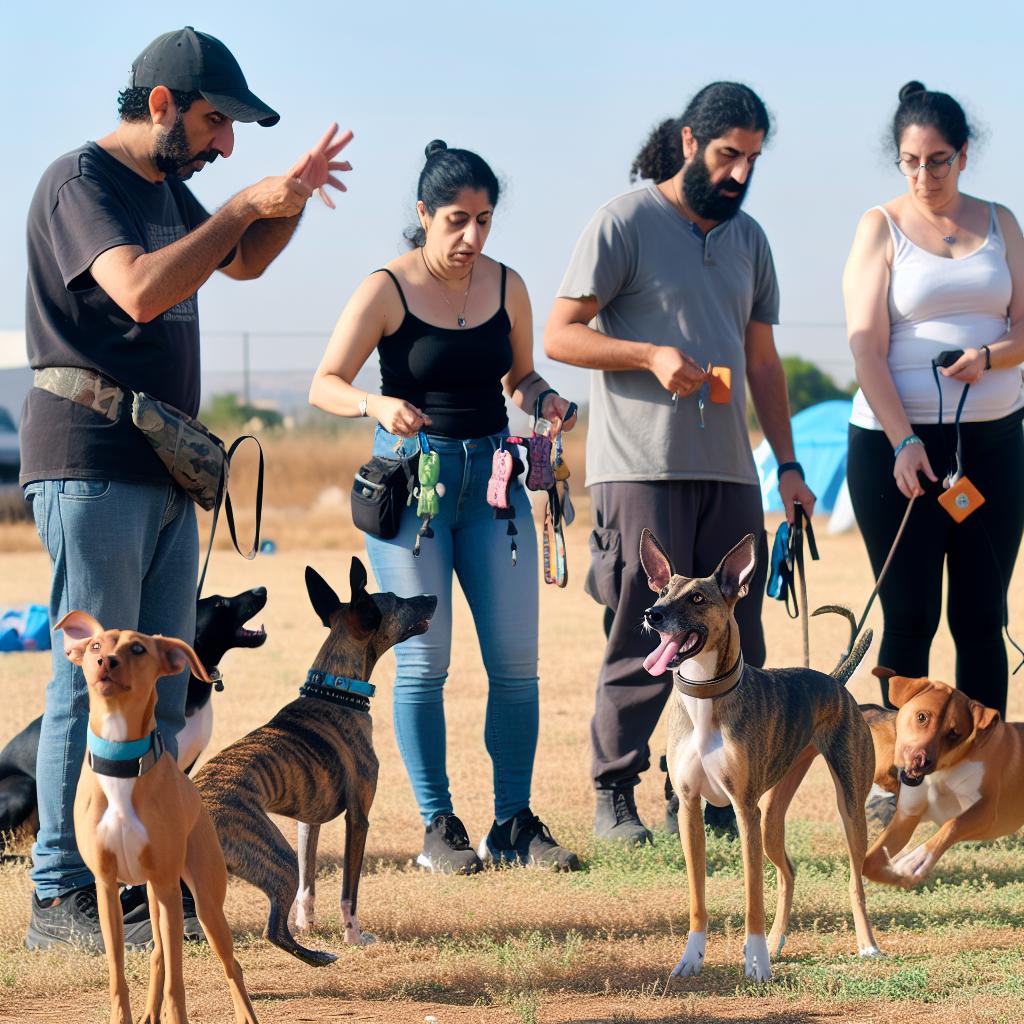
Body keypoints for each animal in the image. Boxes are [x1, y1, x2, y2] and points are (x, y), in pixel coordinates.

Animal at [60, 610, 258, 1019]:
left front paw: (175, 1014)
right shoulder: (107, 888)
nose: (106, 662)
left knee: (229, 964)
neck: (121, 760)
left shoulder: (168, 889)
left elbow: (177, 982)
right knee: (158, 955)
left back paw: (245, 1014)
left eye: (138, 648)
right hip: (153, 893)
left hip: (202, 903)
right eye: (95, 645)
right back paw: (152, 1011)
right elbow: (118, 975)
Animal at [192, 561, 436, 966]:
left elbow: (309, 884)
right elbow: (349, 891)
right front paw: (353, 936)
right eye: (396, 600)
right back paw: (319, 957)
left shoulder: (309, 820)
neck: (336, 690)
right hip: (277, 856)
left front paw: (308, 923)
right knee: (272, 930)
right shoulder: (359, 818)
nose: (431, 596)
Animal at [643, 532, 876, 978]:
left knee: (855, 880)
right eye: (662, 592)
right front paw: (691, 959)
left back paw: (867, 945)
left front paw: (756, 965)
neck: (706, 698)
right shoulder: (689, 808)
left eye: (697, 598)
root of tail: (835, 680)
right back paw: (777, 941)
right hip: (771, 817)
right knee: (788, 873)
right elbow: (698, 897)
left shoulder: (743, 811)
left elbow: (753, 896)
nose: (652, 614)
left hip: (849, 806)